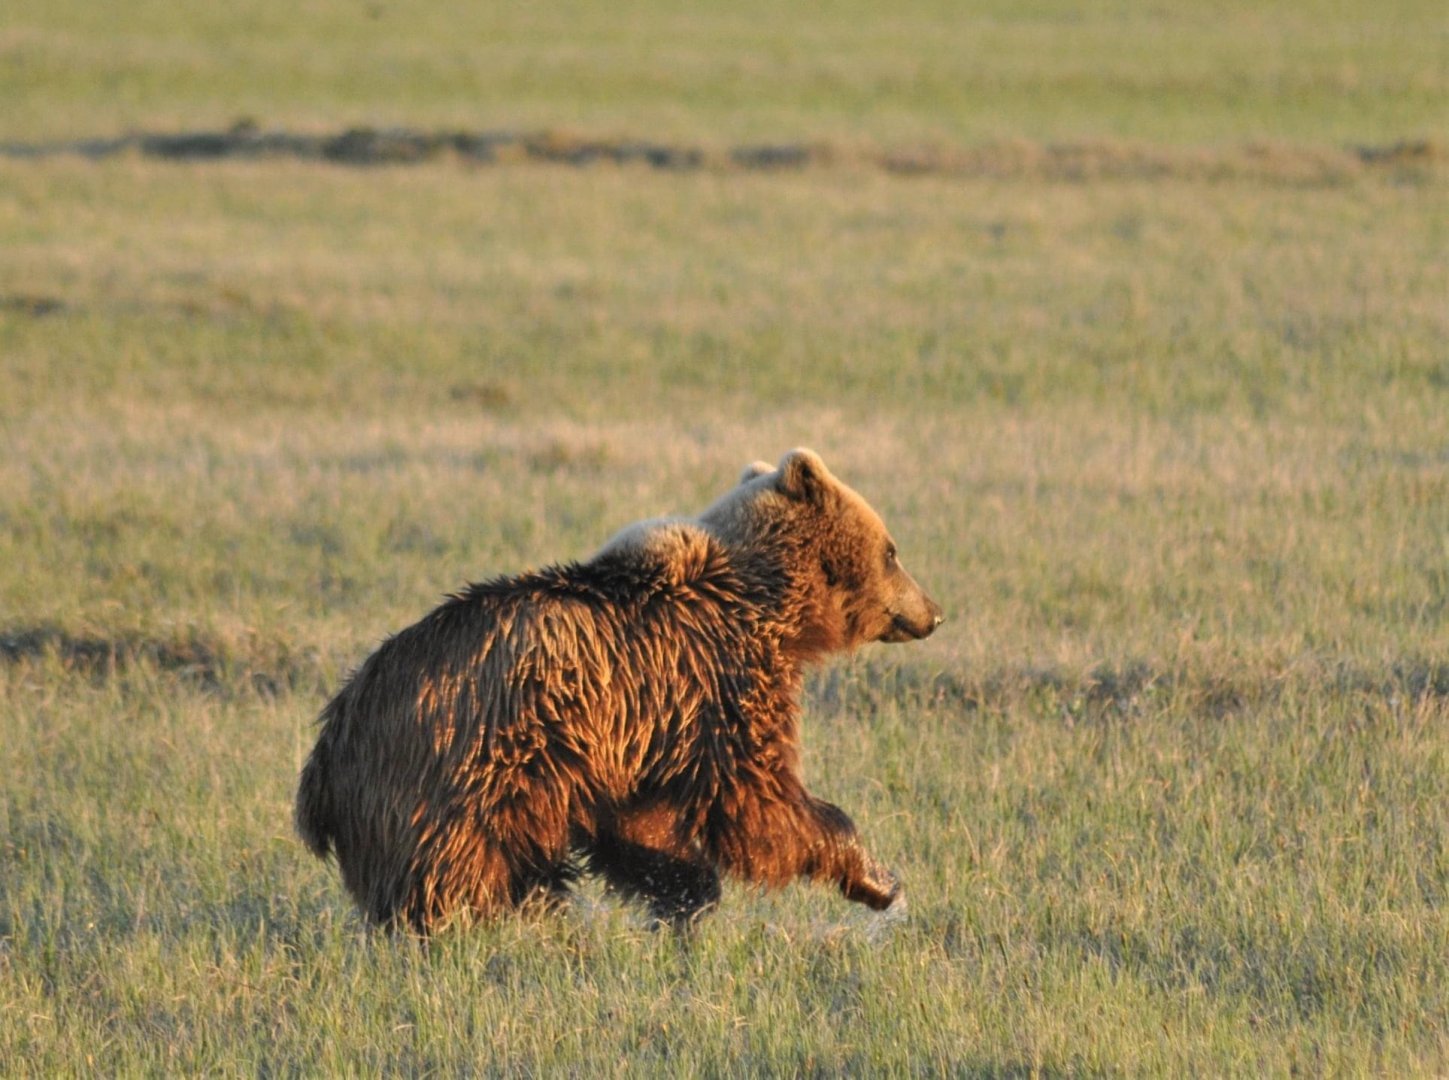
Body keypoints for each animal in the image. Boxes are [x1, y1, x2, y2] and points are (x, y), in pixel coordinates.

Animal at [295, 448, 943, 933]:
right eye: (892, 550)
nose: (933, 612)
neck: (769, 604)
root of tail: (327, 749)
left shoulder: (641, 732)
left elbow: (640, 823)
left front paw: (684, 893)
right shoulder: (718, 681)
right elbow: (757, 799)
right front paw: (878, 878)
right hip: (454, 769)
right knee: (455, 872)